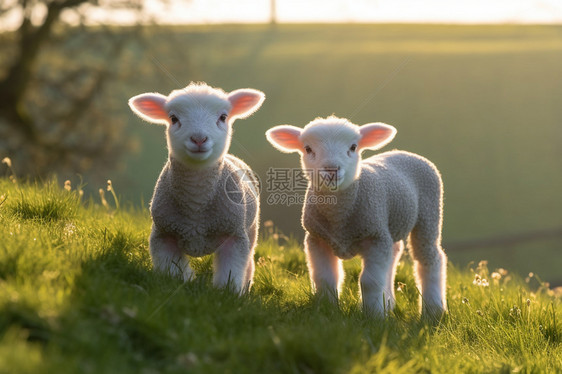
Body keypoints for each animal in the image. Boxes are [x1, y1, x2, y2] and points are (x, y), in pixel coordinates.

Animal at [128, 83, 264, 294]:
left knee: (248, 262)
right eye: (173, 118)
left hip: (250, 228)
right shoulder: (163, 234)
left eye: (223, 117)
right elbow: (173, 272)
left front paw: (228, 293)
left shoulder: (234, 235)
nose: (199, 139)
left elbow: (231, 271)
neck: (196, 206)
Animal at [266, 116, 446, 318]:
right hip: (390, 225)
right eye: (308, 149)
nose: (331, 170)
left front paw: (373, 316)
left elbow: (370, 281)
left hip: (429, 214)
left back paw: (433, 311)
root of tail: (404, 153)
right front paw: (328, 309)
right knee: (394, 255)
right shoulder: (317, 239)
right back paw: (389, 303)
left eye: (353, 147)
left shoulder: (374, 236)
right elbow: (324, 278)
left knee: (430, 258)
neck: (339, 217)